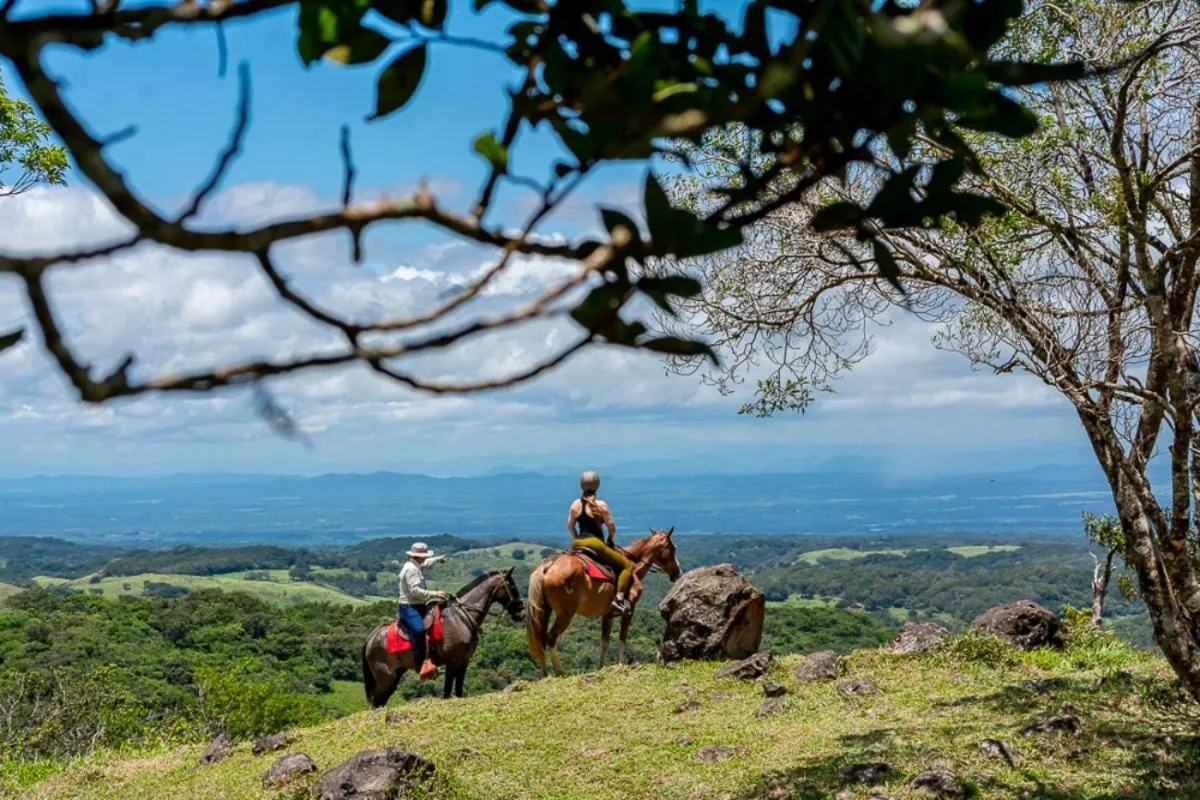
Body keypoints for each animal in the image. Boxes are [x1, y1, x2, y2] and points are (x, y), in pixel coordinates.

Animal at [360, 568, 525, 705]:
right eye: (512, 586)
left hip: (394, 676)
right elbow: (447, 692)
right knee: (377, 702)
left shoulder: (463, 662)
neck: (460, 618)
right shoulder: (452, 662)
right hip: (385, 677)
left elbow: (458, 691)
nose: (521, 613)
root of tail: (370, 639)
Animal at [525, 527, 682, 677]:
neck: (634, 567)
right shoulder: (629, 611)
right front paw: (619, 664)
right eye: (673, 548)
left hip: (545, 611)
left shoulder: (607, 616)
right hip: (565, 614)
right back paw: (559, 671)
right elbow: (622, 638)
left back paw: (545, 673)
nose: (678, 572)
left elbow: (604, 642)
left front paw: (601, 667)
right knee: (551, 638)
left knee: (540, 639)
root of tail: (548, 566)